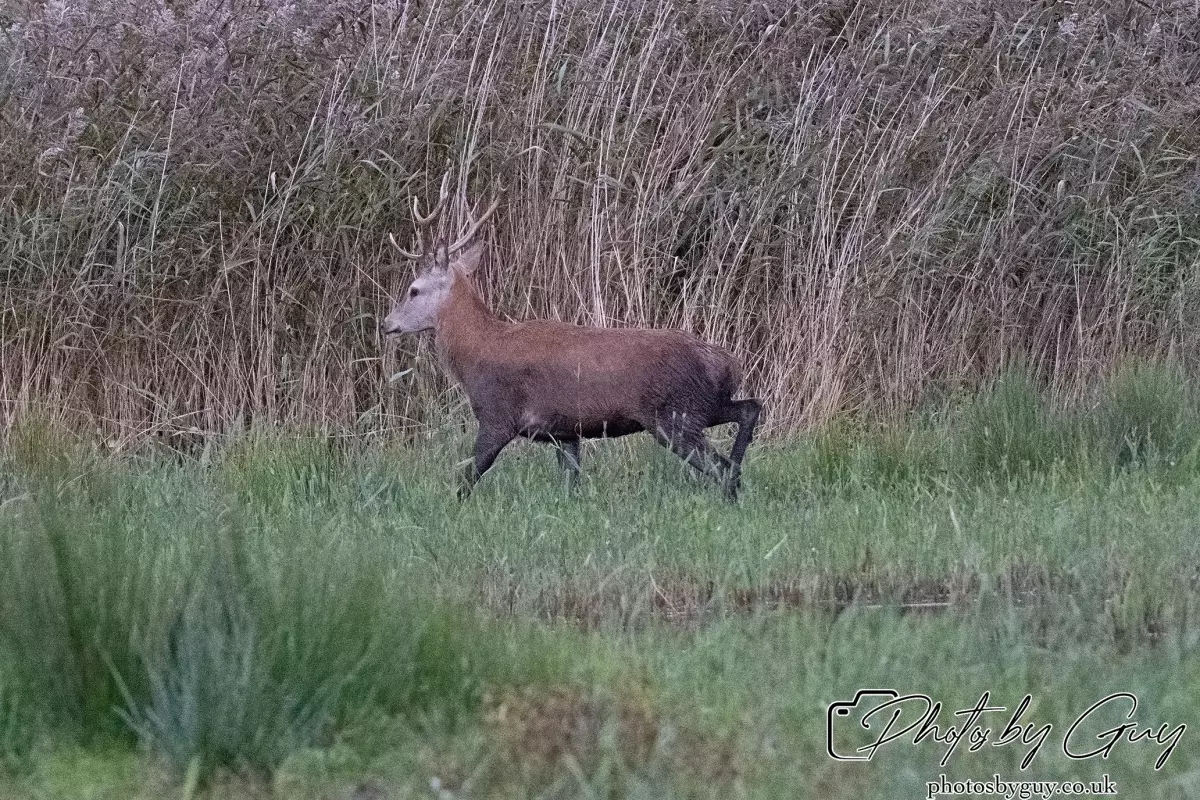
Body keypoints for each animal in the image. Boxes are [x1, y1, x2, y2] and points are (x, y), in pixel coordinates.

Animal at [381, 179, 762, 500]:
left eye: (414, 289)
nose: (387, 323)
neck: (476, 353)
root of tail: (728, 363)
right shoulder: (565, 431)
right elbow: (570, 484)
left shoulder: (497, 413)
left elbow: (469, 475)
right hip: (701, 406)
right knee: (750, 408)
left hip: (673, 414)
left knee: (719, 464)